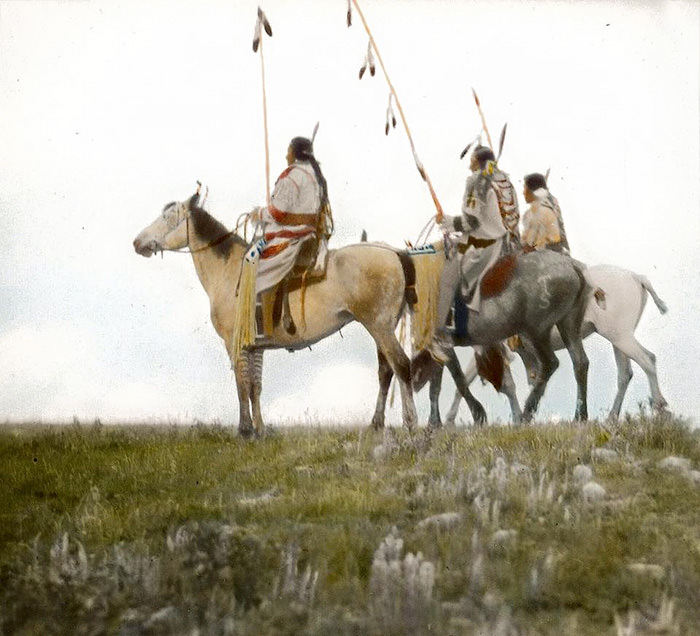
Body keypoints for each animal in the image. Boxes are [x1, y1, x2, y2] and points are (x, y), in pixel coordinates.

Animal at [134, 191, 418, 434]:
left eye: (168, 217)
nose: (138, 242)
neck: (231, 272)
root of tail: (394, 252)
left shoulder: (234, 343)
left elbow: (242, 386)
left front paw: (245, 430)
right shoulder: (255, 347)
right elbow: (255, 387)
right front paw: (259, 430)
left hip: (379, 326)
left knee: (402, 366)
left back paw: (410, 423)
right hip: (384, 327)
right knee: (386, 371)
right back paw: (376, 424)